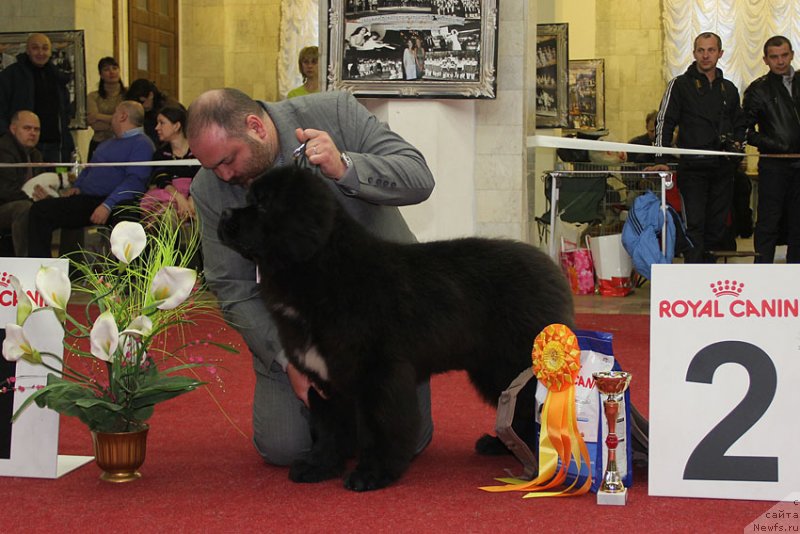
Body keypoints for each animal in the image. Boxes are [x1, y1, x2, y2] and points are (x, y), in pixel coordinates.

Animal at [216, 166, 572, 494]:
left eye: (262, 204)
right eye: (247, 197)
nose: (223, 213)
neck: (323, 270)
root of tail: (551, 270)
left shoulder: (379, 374)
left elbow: (379, 426)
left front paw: (371, 474)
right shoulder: (324, 377)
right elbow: (328, 427)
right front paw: (318, 466)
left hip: (514, 363)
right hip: (494, 368)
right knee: (516, 407)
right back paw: (502, 445)